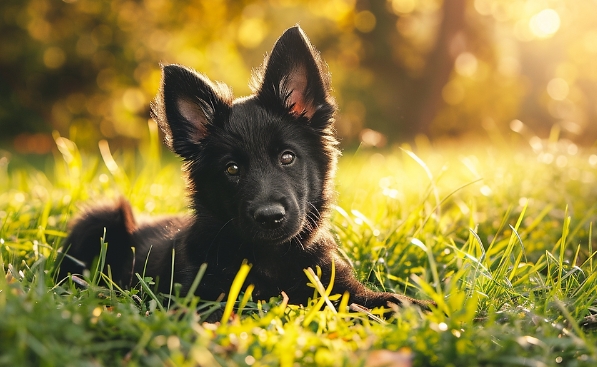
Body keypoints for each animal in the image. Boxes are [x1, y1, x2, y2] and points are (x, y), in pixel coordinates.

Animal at [59, 26, 434, 316]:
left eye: (287, 157)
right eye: (232, 168)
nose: (270, 217)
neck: (270, 257)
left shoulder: (340, 287)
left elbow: (392, 301)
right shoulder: (203, 300)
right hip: (100, 217)